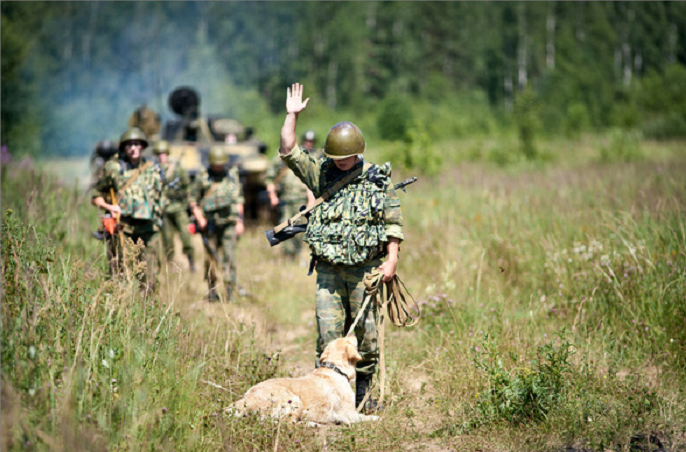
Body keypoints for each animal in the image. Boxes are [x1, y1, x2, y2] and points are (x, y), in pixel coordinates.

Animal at [228, 338, 384, 426]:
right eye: (348, 338)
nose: (352, 332)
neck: (335, 369)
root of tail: (245, 400)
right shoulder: (349, 415)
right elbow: (368, 417)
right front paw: (378, 418)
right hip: (294, 400)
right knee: (285, 424)